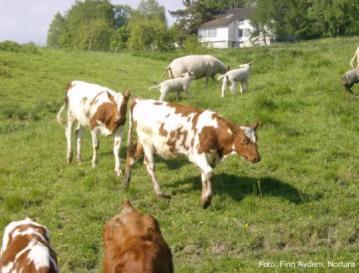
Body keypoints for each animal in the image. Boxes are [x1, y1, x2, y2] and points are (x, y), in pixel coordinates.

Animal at [124, 99, 262, 207]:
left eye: (256, 139)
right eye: (244, 140)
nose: (257, 158)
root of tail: (139, 100)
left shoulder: (209, 158)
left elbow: (204, 176)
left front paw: (203, 199)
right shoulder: (197, 155)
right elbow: (209, 174)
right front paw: (207, 200)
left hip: (142, 143)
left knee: (131, 157)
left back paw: (126, 183)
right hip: (147, 142)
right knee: (149, 165)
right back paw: (160, 193)